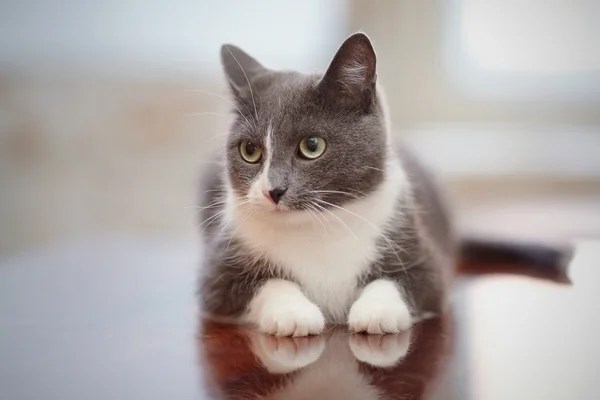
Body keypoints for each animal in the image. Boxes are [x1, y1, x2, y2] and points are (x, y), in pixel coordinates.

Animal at [198, 32, 572, 338]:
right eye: (250, 151)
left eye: (312, 146)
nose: (272, 191)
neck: (317, 227)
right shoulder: (218, 270)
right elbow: (254, 284)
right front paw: (294, 313)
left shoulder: (423, 256)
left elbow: (405, 280)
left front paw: (377, 311)